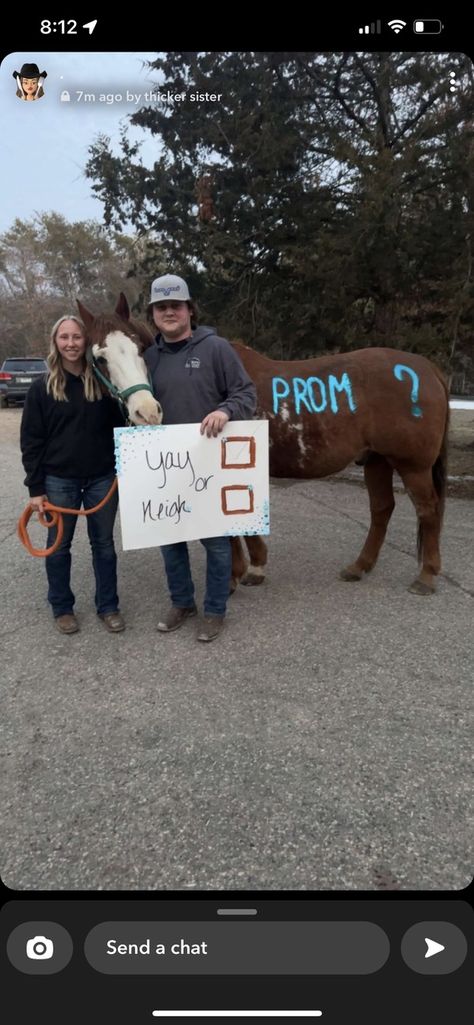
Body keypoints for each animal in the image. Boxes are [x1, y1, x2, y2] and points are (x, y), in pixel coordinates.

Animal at [229, 344, 447, 598]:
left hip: (413, 467)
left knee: (427, 511)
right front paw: (253, 568)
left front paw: (239, 573)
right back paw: (359, 566)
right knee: (382, 509)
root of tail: (429, 369)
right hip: (377, 461)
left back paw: (426, 576)